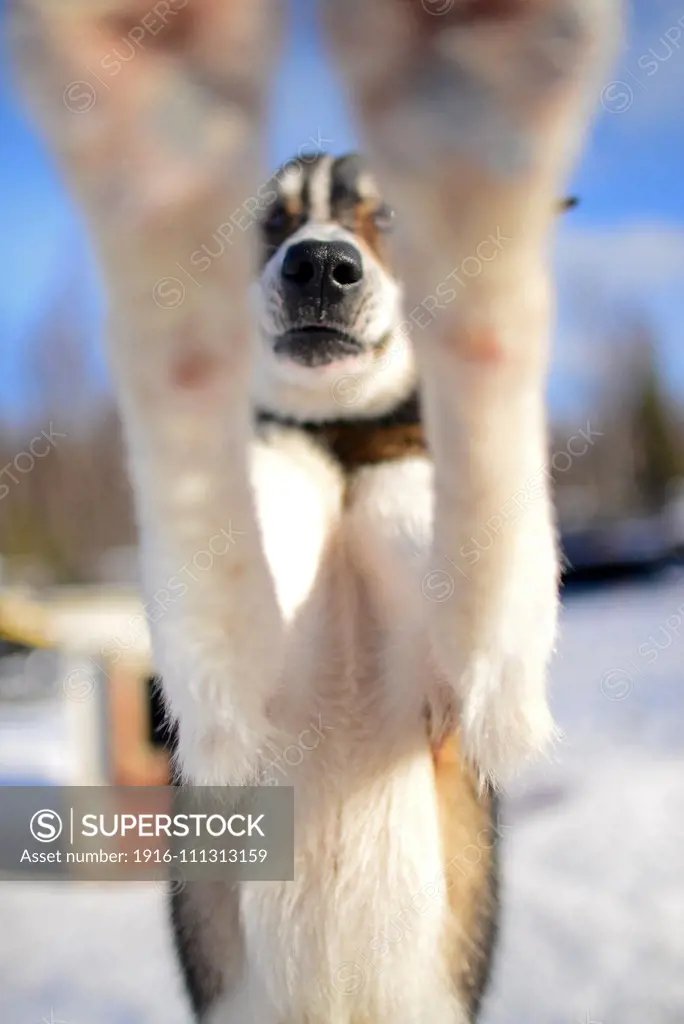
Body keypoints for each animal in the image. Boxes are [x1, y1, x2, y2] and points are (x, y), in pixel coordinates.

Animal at [10, 4, 618, 1019]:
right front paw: (154, 176)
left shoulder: (485, 688)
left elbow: (490, 462)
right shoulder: (229, 708)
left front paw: (477, 179)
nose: (323, 265)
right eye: (272, 222)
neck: (337, 450)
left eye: (388, 219)